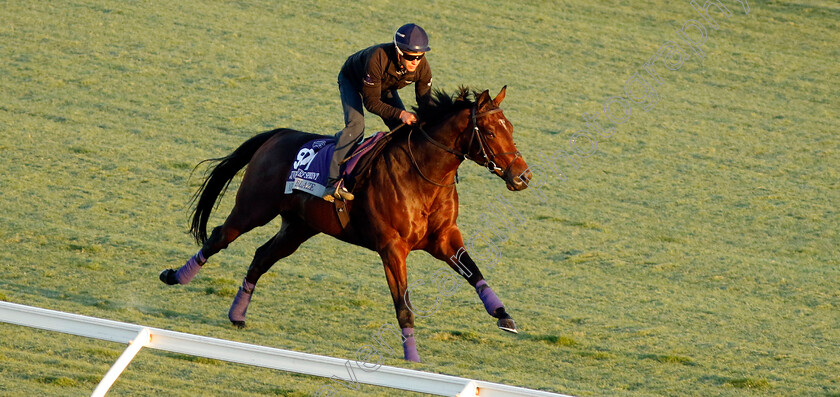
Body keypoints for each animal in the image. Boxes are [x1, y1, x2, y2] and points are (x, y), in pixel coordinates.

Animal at [158, 86, 532, 362]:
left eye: (511, 128)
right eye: (489, 131)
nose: (523, 176)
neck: (423, 175)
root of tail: (279, 135)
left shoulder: (443, 238)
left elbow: (474, 271)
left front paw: (503, 315)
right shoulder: (392, 248)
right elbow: (404, 304)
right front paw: (412, 357)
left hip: (298, 227)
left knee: (262, 256)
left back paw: (237, 314)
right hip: (253, 209)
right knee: (220, 236)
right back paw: (177, 276)